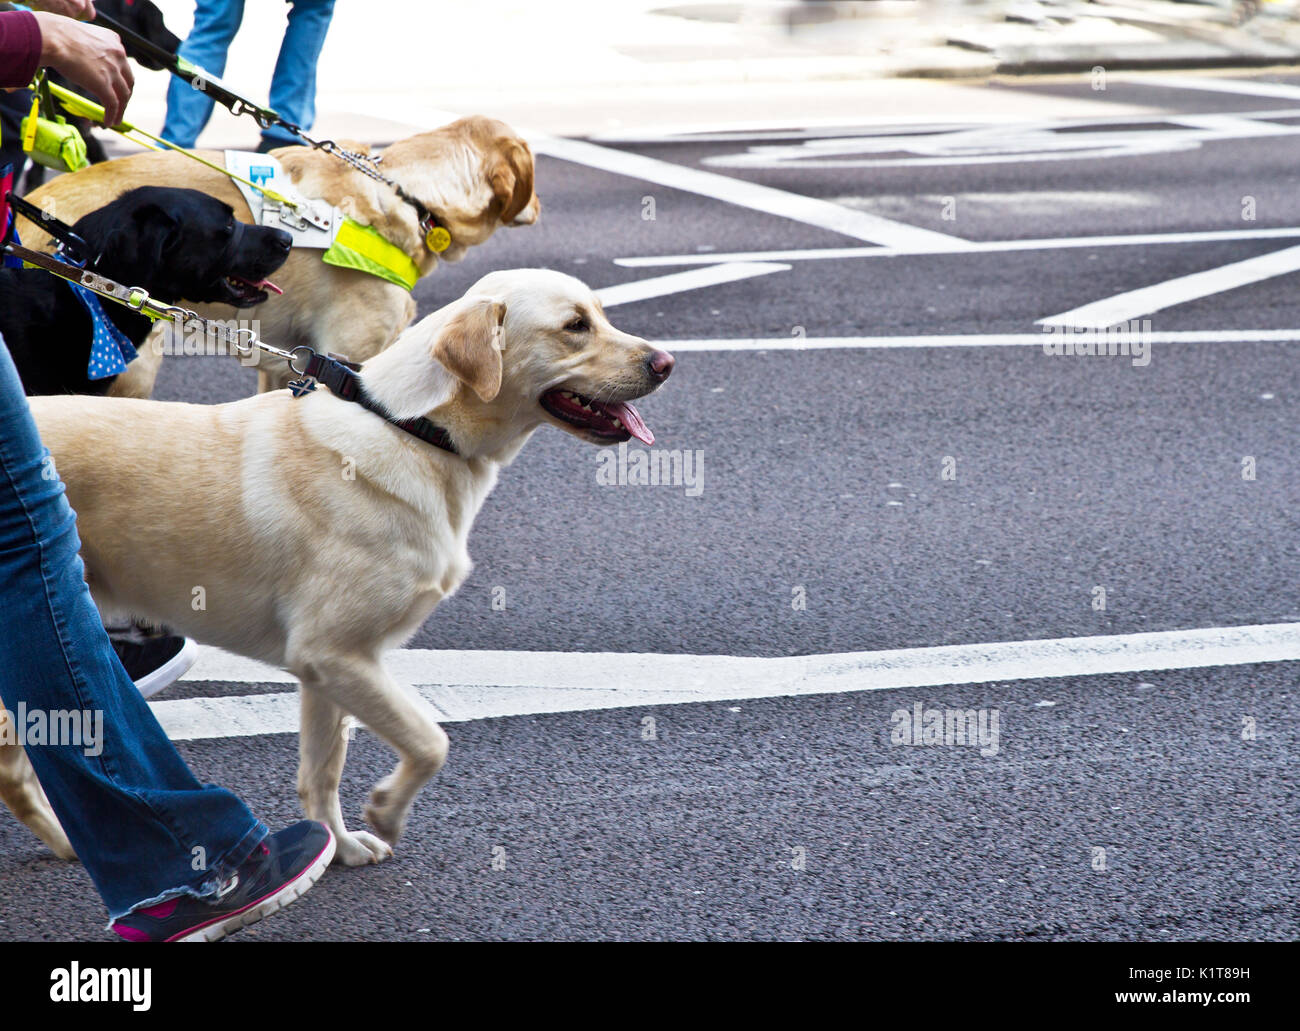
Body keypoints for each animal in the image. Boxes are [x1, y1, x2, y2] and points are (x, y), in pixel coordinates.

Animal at [2, 269, 681, 863]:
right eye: (574, 326)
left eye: (601, 315)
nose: (666, 364)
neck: (414, 428)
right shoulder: (336, 655)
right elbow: (431, 741)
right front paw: (386, 810)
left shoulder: (325, 670)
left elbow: (321, 772)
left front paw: (343, 845)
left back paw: (71, 845)